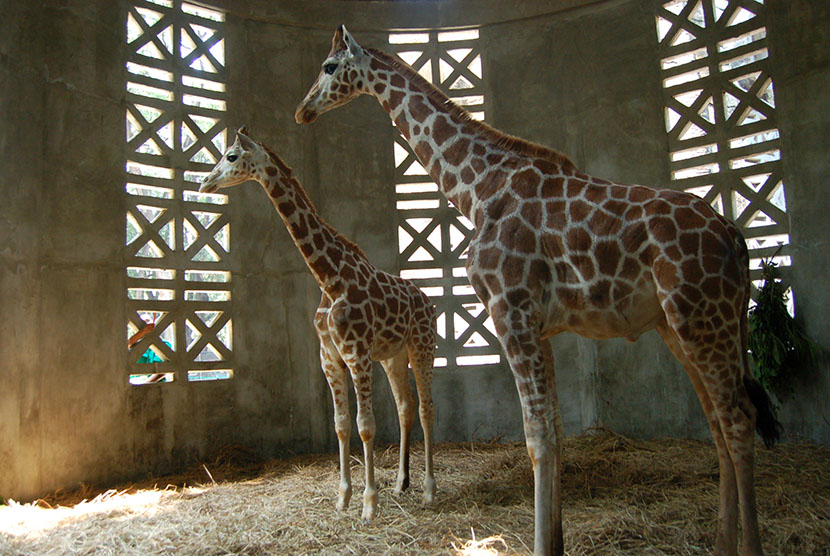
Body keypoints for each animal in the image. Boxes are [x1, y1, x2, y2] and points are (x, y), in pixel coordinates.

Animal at [201, 127, 438, 520]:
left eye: (231, 156)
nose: (205, 182)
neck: (328, 277)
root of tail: (428, 301)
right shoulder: (330, 357)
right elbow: (341, 426)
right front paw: (343, 498)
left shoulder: (356, 354)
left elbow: (366, 426)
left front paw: (368, 504)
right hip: (393, 355)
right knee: (405, 407)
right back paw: (402, 483)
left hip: (422, 346)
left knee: (425, 408)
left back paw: (430, 490)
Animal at [296, 26, 784, 556]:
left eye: (328, 67)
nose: (302, 110)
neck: (477, 190)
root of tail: (735, 236)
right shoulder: (540, 325)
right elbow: (554, 427)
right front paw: (556, 540)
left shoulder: (509, 310)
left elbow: (537, 436)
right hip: (684, 326)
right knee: (718, 420)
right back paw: (721, 542)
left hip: (702, 317)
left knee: (738, 418)